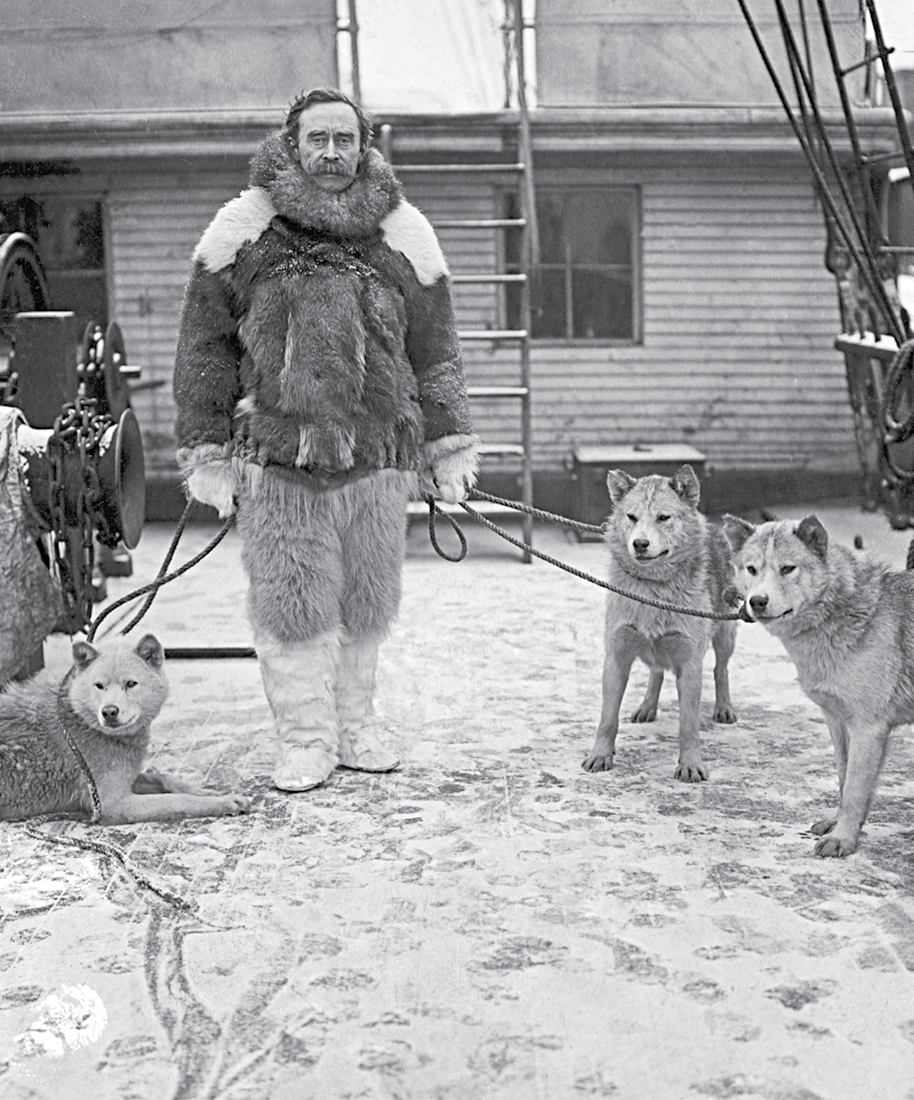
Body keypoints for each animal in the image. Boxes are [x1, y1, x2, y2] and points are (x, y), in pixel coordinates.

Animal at [0, 629, 250, 827]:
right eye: (99, 686)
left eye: (130, 684)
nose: (109, 712)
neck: (78, 717)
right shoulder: (114, 804)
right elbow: (178, 800)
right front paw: (221, 803)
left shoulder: (126, 779)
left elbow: (163, 778)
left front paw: (203, 791)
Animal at [580, 464, 739, 783]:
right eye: (631, 517)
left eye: (663, 517)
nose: (640, 544)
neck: (653, 589)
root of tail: (714, 527)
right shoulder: (615, 659)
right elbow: (607, 718)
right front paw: (600, 755)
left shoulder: (690, 664)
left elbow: (688, 725)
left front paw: (690, 764)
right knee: (656, 672)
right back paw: (647, 706)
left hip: (725, 635)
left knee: (721, 670)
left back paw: (724, 707)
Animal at [721, 514, 914, 858]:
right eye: (752, 569)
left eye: (788, 569)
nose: (757, 601)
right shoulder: (837, 722)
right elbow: (843, 779)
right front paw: (839, 826)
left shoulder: (868, 728)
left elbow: (854, 789)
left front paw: (843, 840)